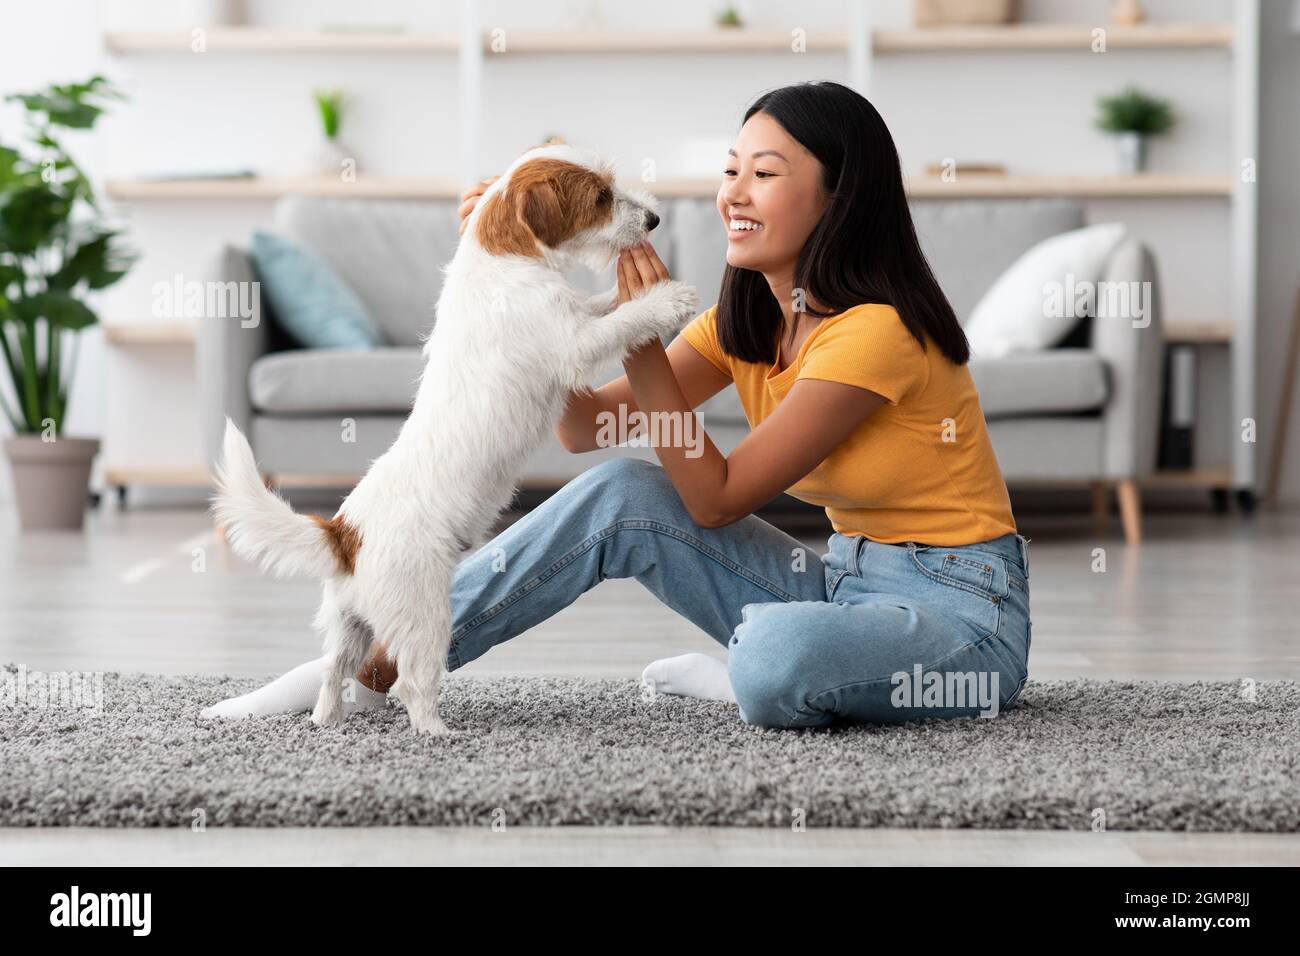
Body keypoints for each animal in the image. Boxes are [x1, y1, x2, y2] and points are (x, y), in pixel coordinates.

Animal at [210, 143, 702, 738]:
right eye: (602, 197)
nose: (654, 219)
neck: (504, 257)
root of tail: (345, 532)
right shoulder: (574, 344)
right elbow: (622, 321)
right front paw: (667, 299)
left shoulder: (574, 313)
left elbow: (601, 302)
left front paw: (629, 288)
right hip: (425, 616)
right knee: (410, 684)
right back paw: (439, 733)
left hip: (349, 623)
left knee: (333, 672)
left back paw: (327, 722)